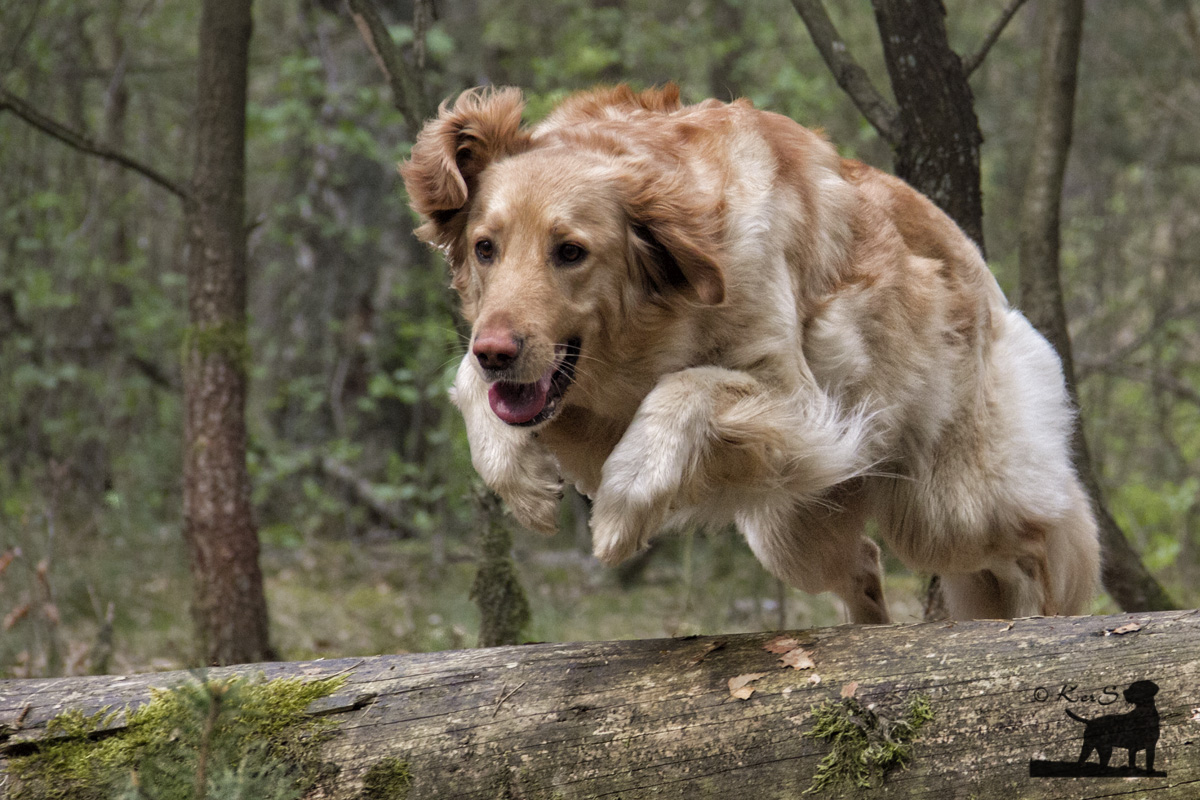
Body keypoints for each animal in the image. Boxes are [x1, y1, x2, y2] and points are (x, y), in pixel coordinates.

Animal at [400, 86, 1099, 623]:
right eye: (485, 248)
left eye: (570, 251)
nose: (497, 351)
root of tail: (974, 261)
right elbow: (471, 386)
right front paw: (522, 482)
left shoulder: (801, 402)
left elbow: (686, 388)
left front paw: (622, 510)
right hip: (795, 529)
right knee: (864, 563)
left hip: (949, 505)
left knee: (1043, 536)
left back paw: (1049, 611)